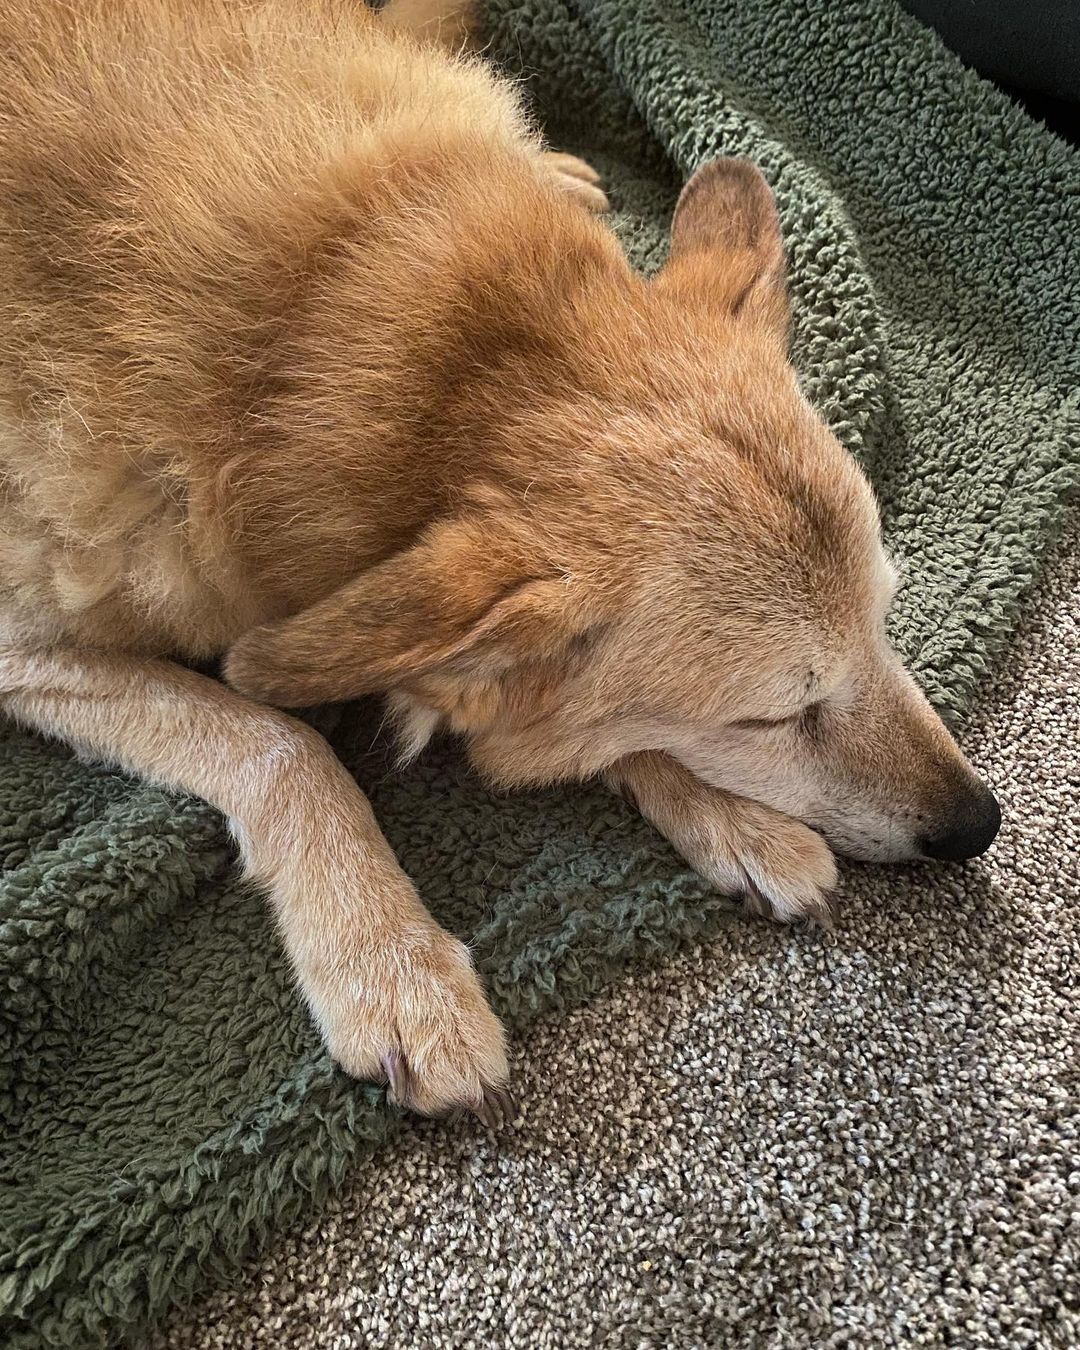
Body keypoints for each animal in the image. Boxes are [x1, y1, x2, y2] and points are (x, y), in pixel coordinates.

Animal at [0, 0, 999, 1117]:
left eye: (883, 625)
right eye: (774, 716)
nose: (979, 823)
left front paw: (729, 816)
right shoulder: (30, 644)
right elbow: (277, 739)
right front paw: (390, 960)